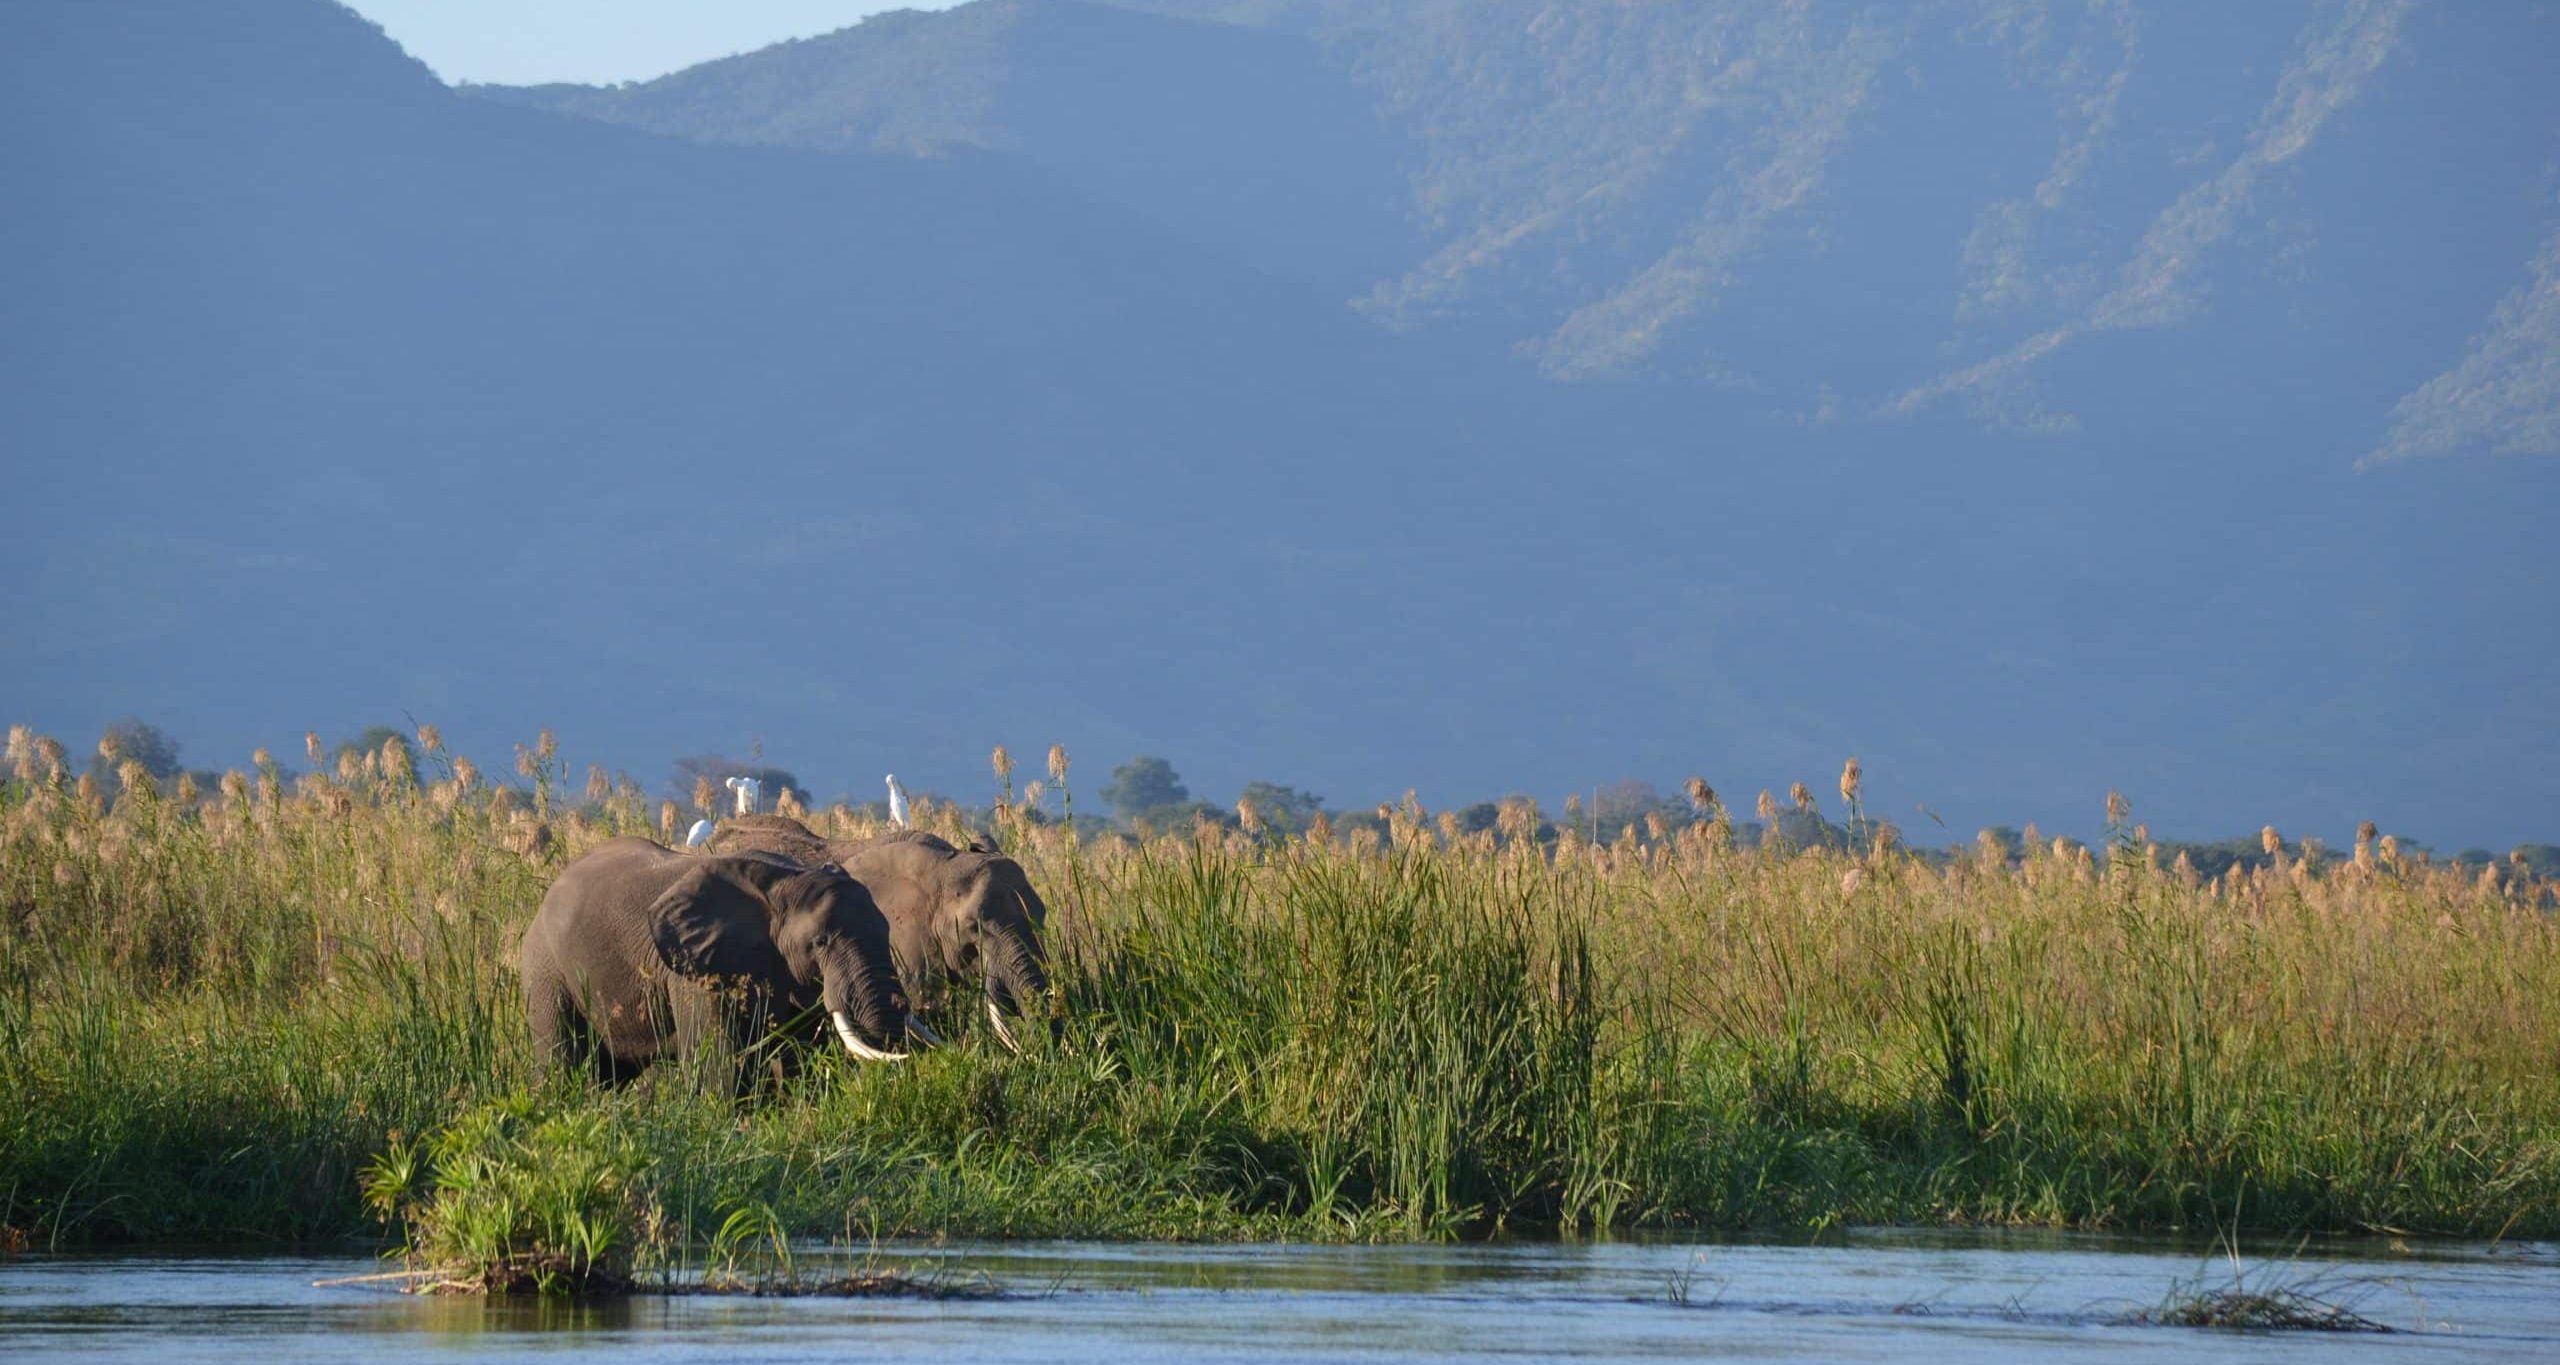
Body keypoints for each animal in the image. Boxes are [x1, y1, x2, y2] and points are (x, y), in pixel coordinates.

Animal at [519, 834, 921, 1080]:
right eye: (820, 942)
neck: (787, 879)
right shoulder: (693, 971)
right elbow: (715, 1065)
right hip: (545, 969)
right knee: (563, 1065)